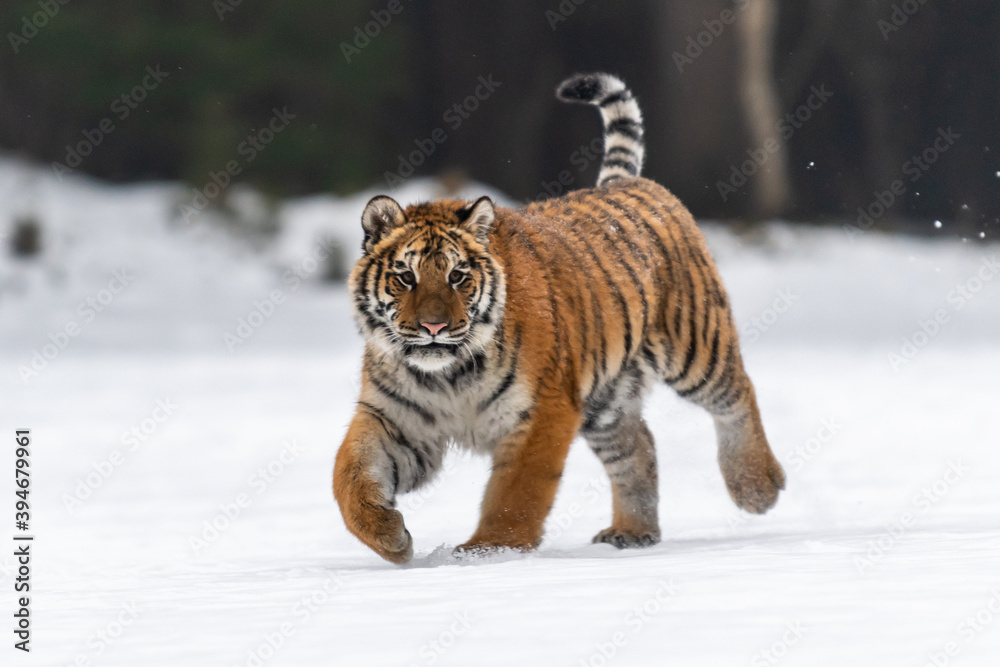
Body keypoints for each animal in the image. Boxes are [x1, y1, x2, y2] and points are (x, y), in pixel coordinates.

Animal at [333, 72, 785, 564]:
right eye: (405, 277)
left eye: (457, 276)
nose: (434, 327)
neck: (447, 376)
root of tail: (625, 182)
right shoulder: (396, 419)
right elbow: (350, 476)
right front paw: (391, 539)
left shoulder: (542, 410)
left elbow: (516, 492)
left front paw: (489, 549)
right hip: (606, 399)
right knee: (638, 447)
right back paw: (633, 532)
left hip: (694, 345)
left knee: (738, 393)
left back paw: (757, 487)